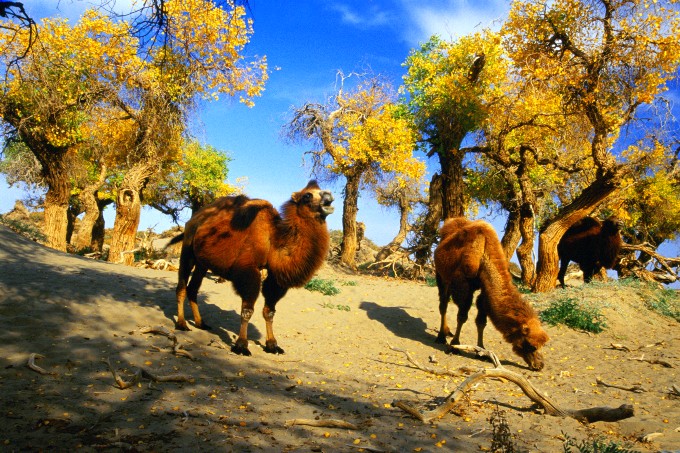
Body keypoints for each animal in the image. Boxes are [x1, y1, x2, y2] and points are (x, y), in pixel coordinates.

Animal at [170, 179, 334, 354]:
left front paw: (272, 344)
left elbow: (269, 311)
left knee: (193, 289)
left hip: (202, 262)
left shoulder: (275, 278)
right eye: (307, 196)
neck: (273, 240)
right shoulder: (248, 270)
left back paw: (201, 323)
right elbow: (247, 310)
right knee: (182, 287)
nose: (328, 195)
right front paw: (241, 345)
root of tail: (194, 219)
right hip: (188, 250)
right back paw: (182, 324)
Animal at [432, 217, 548, 370]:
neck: (483, 255)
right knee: (443, 304)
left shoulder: (484, 289)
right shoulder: (464, 285)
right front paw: (455, 345)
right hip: (441, 276)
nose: (539, 365)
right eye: (531, 345)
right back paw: (441, 336)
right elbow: (462, 316)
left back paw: (447, 332)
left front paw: (481, 351)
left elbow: (481, 321)